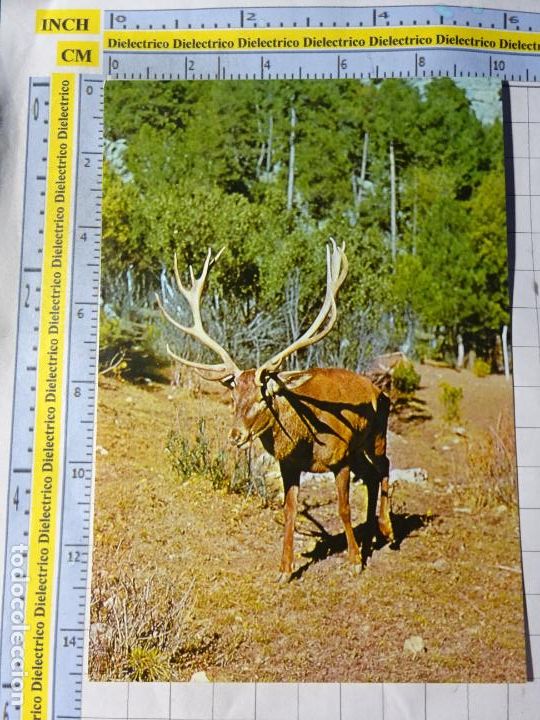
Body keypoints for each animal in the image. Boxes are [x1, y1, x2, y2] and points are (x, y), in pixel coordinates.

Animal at [157, 240, 394, 582]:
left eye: (263, 396)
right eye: (234, 396)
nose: (236, 434)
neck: (308, 439)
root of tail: (380, 391)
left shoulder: (340, 457)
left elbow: (343, 508)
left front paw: (353, 561)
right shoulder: (289, 464)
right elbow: (289, 510)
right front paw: (285, 570)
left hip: (376, 435)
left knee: (385, 466)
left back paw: (388, 532)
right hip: (359, 448)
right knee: (373, 476)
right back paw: (372, 536)